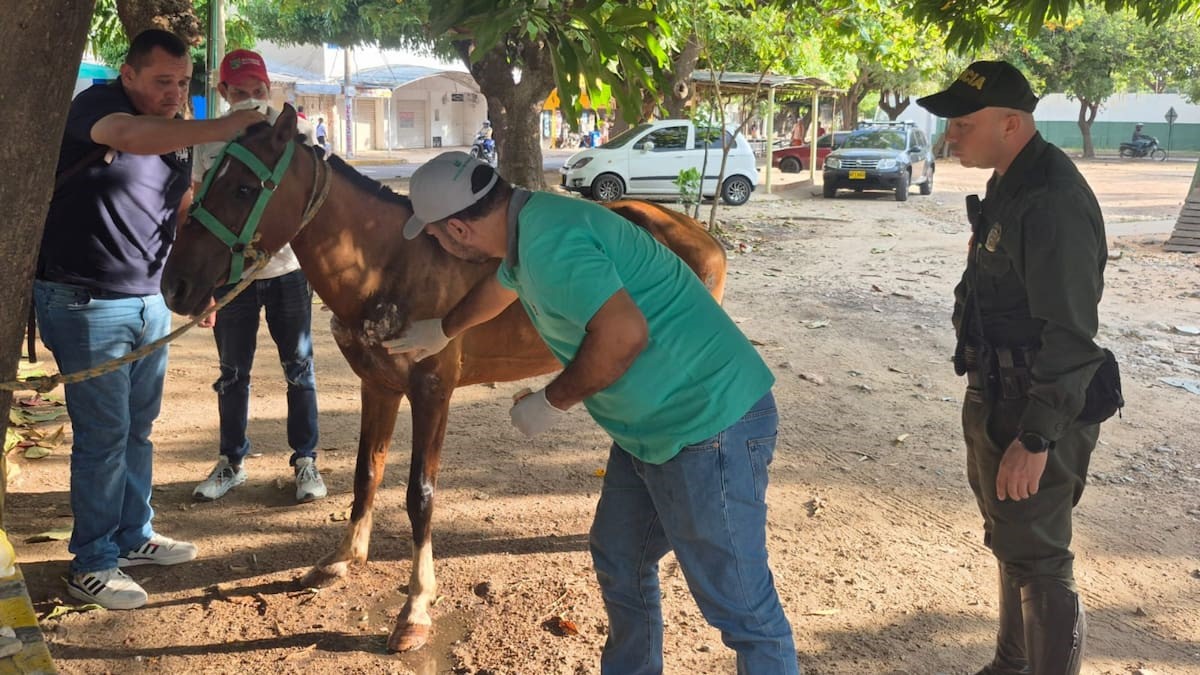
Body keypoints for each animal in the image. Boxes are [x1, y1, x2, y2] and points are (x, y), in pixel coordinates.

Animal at [161, 105, 727, 652]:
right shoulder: (378, 387)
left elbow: (420, 495)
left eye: (244, 188)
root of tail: (699, 234)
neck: (389, 262)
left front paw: (415, 608)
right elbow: (366, 474)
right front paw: (344, 558)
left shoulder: (433, 394)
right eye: (208, 177)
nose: (175, 286)